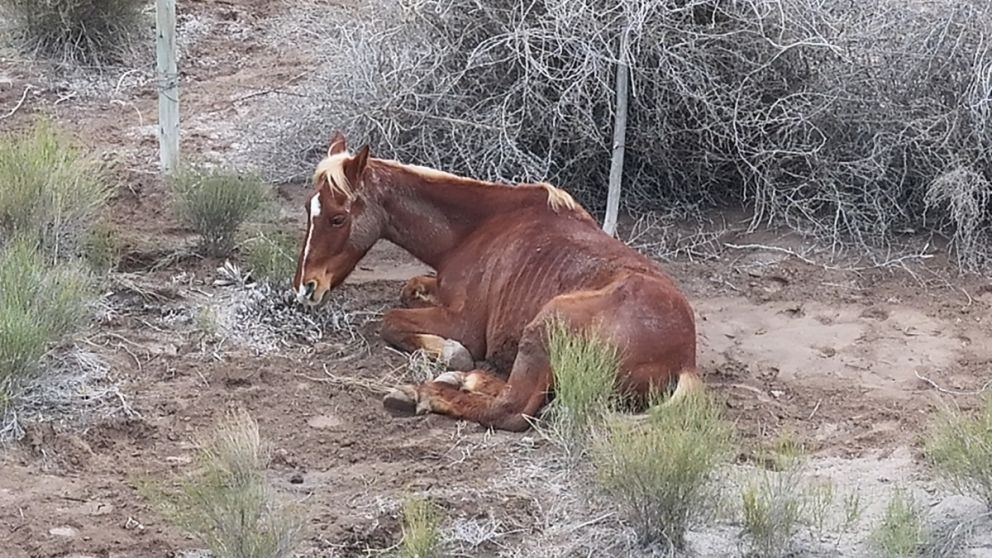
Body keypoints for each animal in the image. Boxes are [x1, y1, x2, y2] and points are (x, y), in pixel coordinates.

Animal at [292, 132, 701, 432]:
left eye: (337, 218)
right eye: (310, 209)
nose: (305, 288)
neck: (477, 229)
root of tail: (684, 361)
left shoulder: (465, 325)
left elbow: (392, 322)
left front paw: (450, 352)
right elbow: (409, 290)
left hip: (546, 324)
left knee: (511, 409)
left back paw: (421, 392)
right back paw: (466, 379)